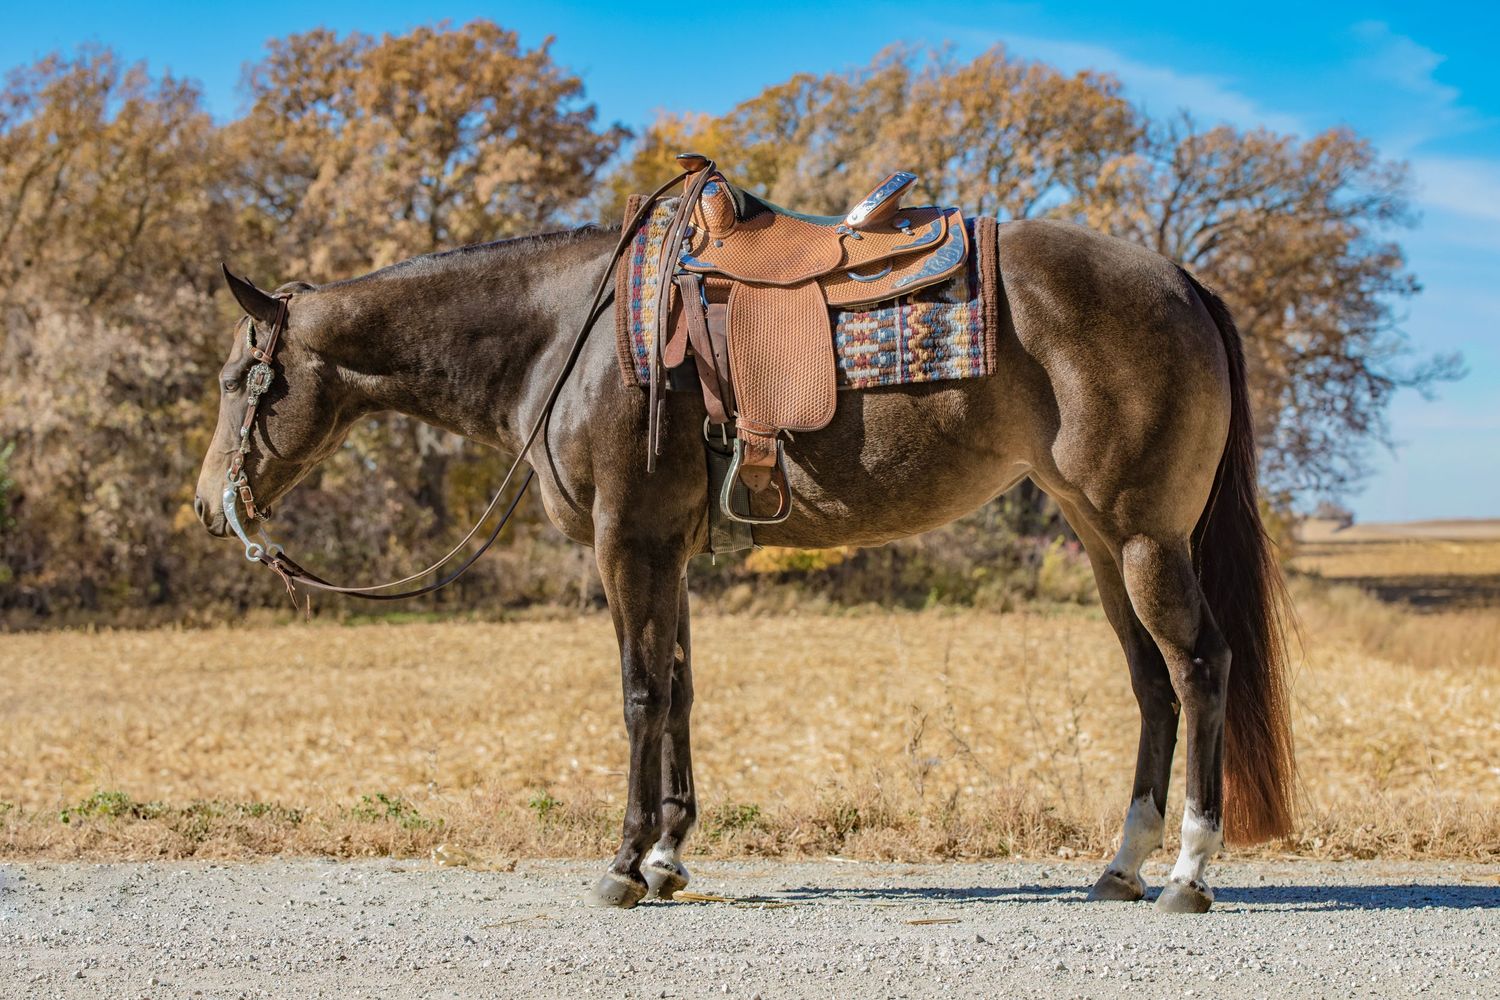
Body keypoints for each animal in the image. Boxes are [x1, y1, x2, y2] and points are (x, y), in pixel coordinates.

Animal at [193, 213, 1295, 914]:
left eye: (245, 376)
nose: (210, 506)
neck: (566, 339)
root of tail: (1181, 281)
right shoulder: (668, 551)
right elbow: (680, 691)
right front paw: (669, 853)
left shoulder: (627, 542)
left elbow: (639, 695)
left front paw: (624, 863)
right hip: (1102, 541)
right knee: (1151, 685)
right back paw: (1120, 867)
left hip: (1145, 537)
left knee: (1200, 668)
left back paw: (1190, 872)